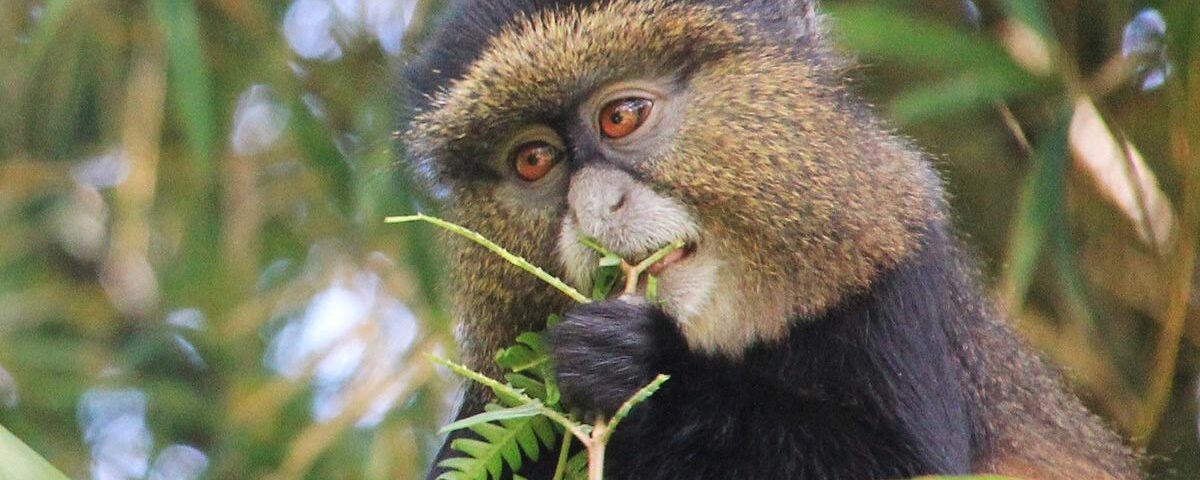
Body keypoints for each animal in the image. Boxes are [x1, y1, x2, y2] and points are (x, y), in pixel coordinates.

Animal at [400, 0, 1141, 478]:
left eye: (622, 116)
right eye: (533, 160)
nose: (592, 207)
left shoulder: (893, 274)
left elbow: (898, 462)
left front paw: (640, 365)